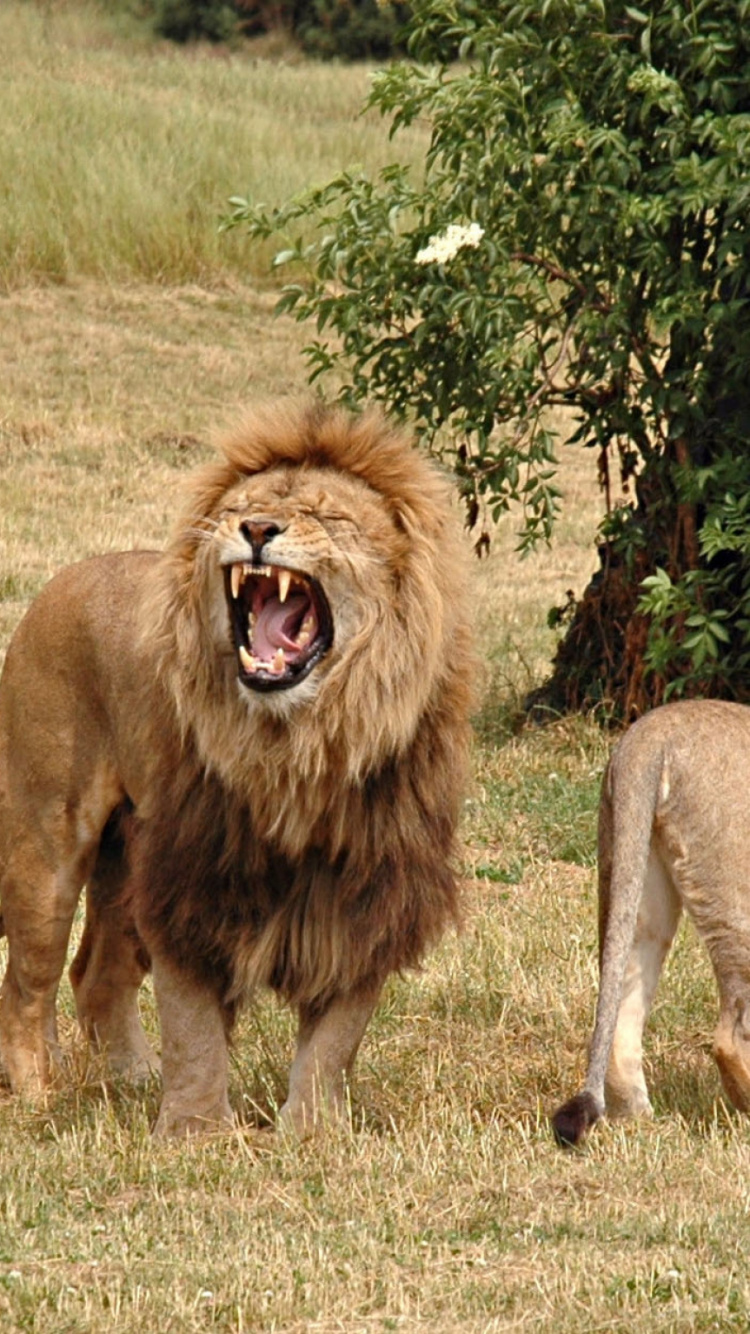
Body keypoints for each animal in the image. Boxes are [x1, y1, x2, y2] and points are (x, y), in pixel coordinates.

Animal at [0, 402, 474, 1137]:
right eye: (241, 509)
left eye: (325, 515)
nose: (256, 530)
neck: (302, 747)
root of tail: (68, 575)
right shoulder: (192, 877)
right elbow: (193, 1025)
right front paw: (195, 1135)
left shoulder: (370, 889)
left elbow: (336, 1037)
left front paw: (312, 1133)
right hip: (45, 843)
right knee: (28, 983)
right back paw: (37, 1093)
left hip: (124, 858)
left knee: (97, 975)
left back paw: (133, 1080)